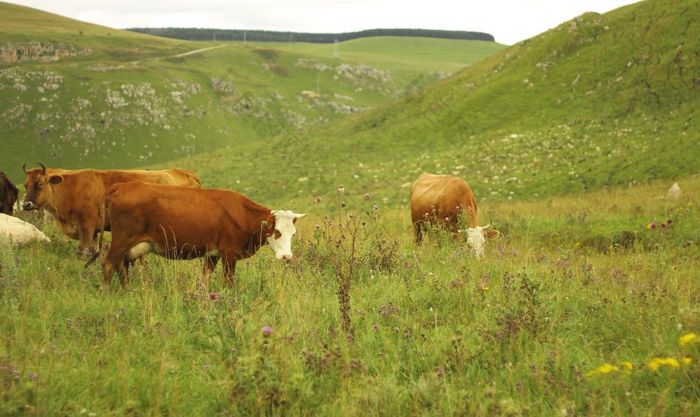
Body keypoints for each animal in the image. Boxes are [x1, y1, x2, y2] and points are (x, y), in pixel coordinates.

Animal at [21, 163, 201, 255]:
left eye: (39, 184)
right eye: (25, 184)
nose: (26, 204)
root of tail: (183, 172)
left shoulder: (87, 225)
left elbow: (82, 250)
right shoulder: (94, 230)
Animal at [95, 182, 304, 286]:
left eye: (293, 234)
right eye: (277, 231)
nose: (287, 256)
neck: (243, 214)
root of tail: (121, 187)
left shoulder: (213, 255)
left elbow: (205, 278)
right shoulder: (229, 254)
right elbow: (229, 282)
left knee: (120, 266)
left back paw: (126, 290)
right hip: (121, 240)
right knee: (108, 264)